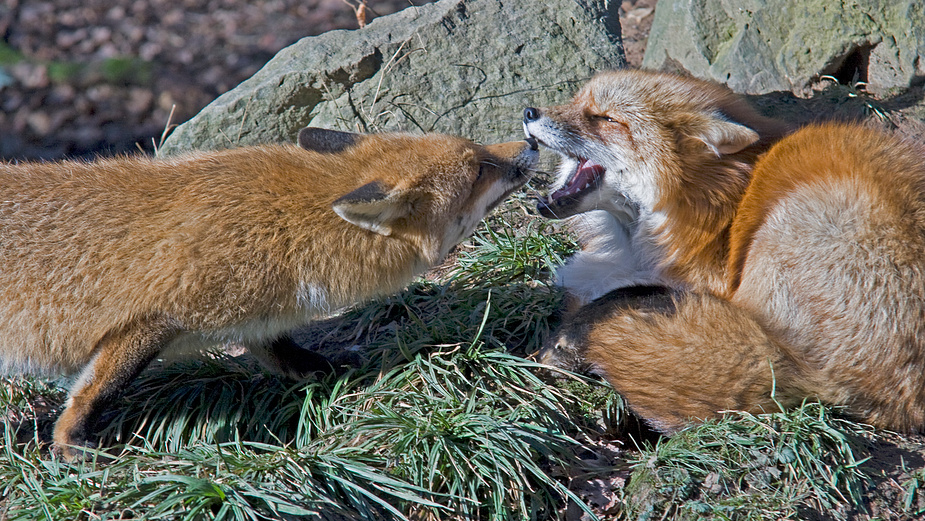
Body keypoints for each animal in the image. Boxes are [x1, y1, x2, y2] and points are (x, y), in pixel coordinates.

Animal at [0, 128, 536, 458]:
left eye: (479, 149)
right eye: (479, 169)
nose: (531, 140)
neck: (282, 230)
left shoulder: (255, 317)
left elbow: (286, 353)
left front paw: (328, 371)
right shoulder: (155, 318)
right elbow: (95, 390)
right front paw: (72, 445)